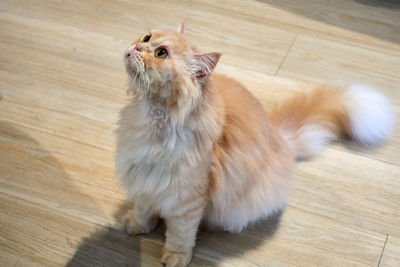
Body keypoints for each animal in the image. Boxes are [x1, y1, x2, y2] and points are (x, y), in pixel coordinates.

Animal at [115, 24, 394, 266]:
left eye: (161, 53)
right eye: (147, 37)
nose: (137, 46)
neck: (153, 119)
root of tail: (279, 136)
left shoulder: (188, 199)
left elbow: (180, 236)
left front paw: (176, 258)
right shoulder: (144, 178)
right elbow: (144, 210)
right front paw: (137, 226)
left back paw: (233, 225)